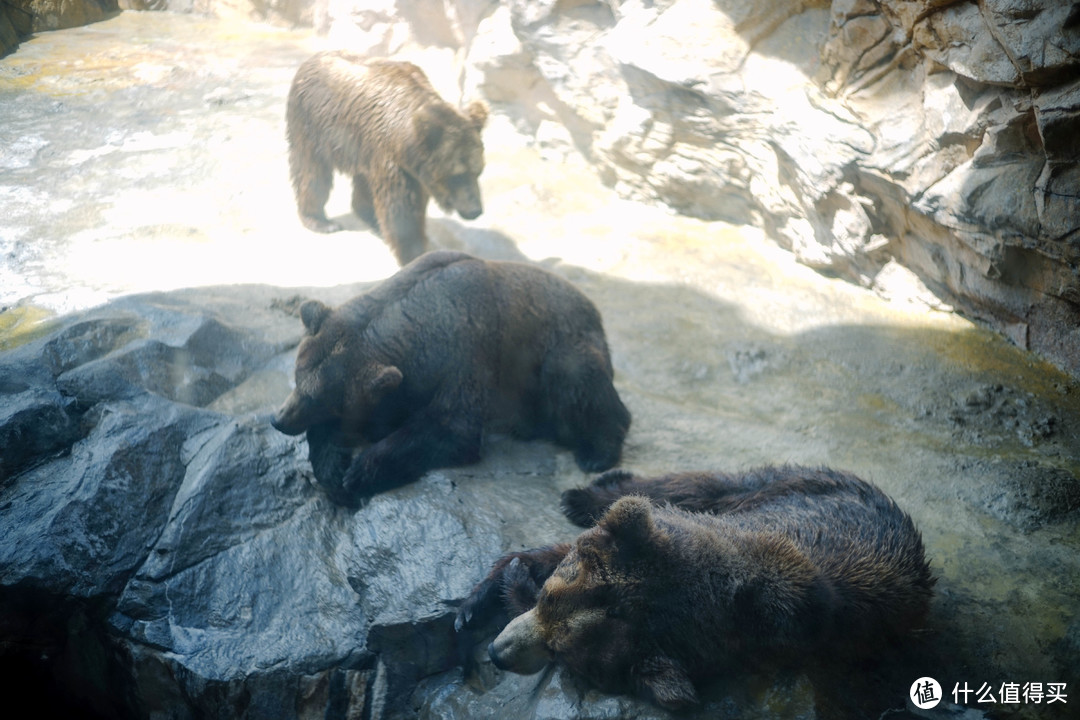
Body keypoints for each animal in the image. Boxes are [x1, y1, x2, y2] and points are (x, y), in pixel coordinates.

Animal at [268, 250, 630, 505]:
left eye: (320, 398)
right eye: (298, 378)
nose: (279, 419)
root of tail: (594, 309)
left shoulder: (467, 352)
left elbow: (451, 428)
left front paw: (360, 472)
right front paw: (333, 469)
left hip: (559, 348)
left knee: (577, 382)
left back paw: (597, 452)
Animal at [287, 51, 490, 264]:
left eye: (478, 171)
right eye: (457, 176)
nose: (475, 210)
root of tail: (309, 60)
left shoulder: (405, 164)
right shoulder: (391, 160)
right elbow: (401, 210)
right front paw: (413, 253)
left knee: (361, 180)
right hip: (310, 122)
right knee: (312, 172)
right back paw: (320, 221)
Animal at [455, 464, 937, 716]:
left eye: (562, 652)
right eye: (548, 600)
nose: (497, 653)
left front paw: (509, 584)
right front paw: (483, 595)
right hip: (792, 485)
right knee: (692, 485)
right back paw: (586, 492)